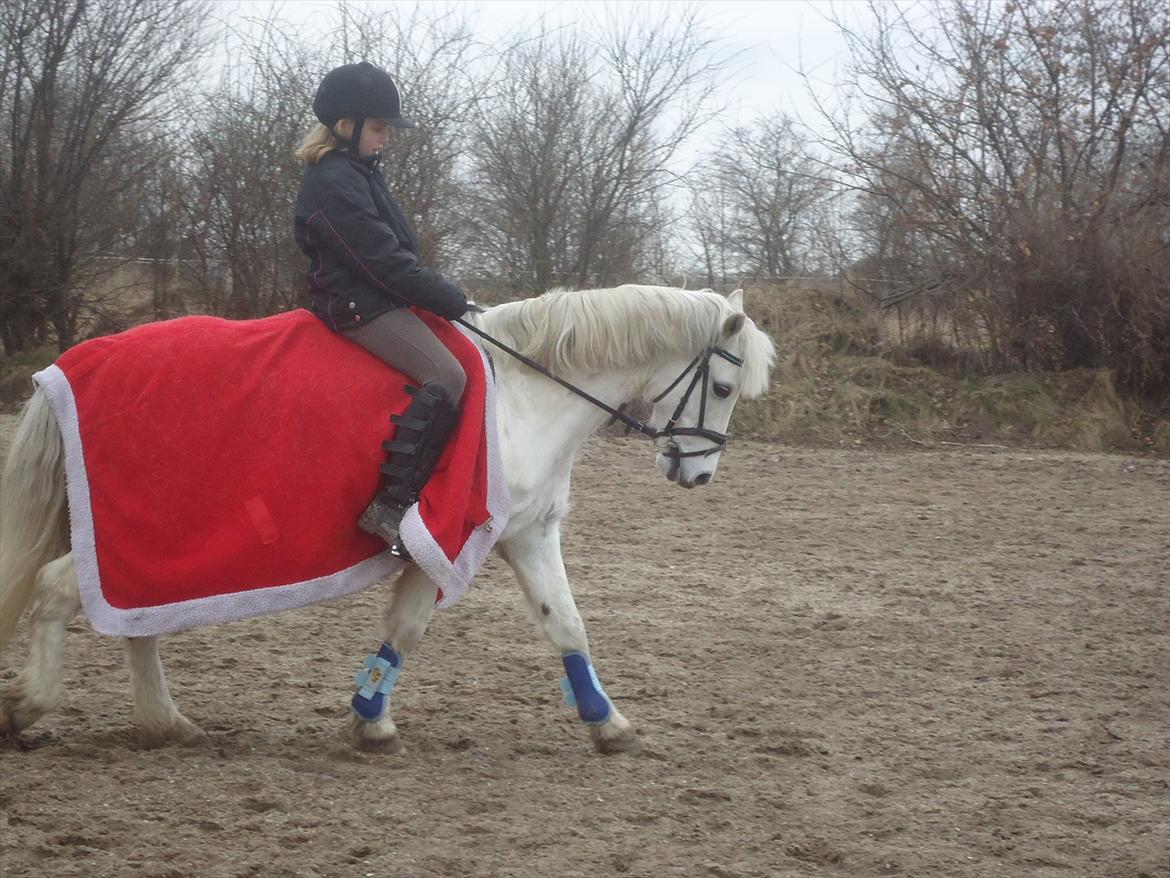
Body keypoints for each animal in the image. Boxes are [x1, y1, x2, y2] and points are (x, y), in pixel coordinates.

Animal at [2, 285, 776, 753]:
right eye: (724, 386)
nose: (699, 474)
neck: (525, 392)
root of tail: (74, 365)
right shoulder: (451, 535)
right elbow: (410, 626)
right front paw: (371, 724)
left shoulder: (526, 532)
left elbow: (565, 624)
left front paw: (608, 725)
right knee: (55, 591)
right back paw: (31, 708)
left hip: (143, 540)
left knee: (133, 618)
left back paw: (166, 723)